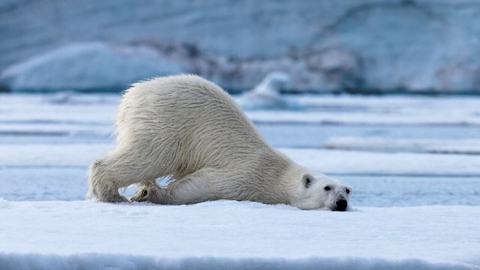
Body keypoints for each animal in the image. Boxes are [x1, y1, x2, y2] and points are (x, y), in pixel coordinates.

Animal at [88, 74, 350, 211]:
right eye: (327, 188)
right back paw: (112, 194)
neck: (277, 174)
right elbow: (203, 185)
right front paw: (150, 194)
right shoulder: (246, 175)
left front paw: (146, 191)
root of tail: (132, 94)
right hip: (165, 123)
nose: (342, 202)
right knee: (150, 156)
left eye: (348, 189)